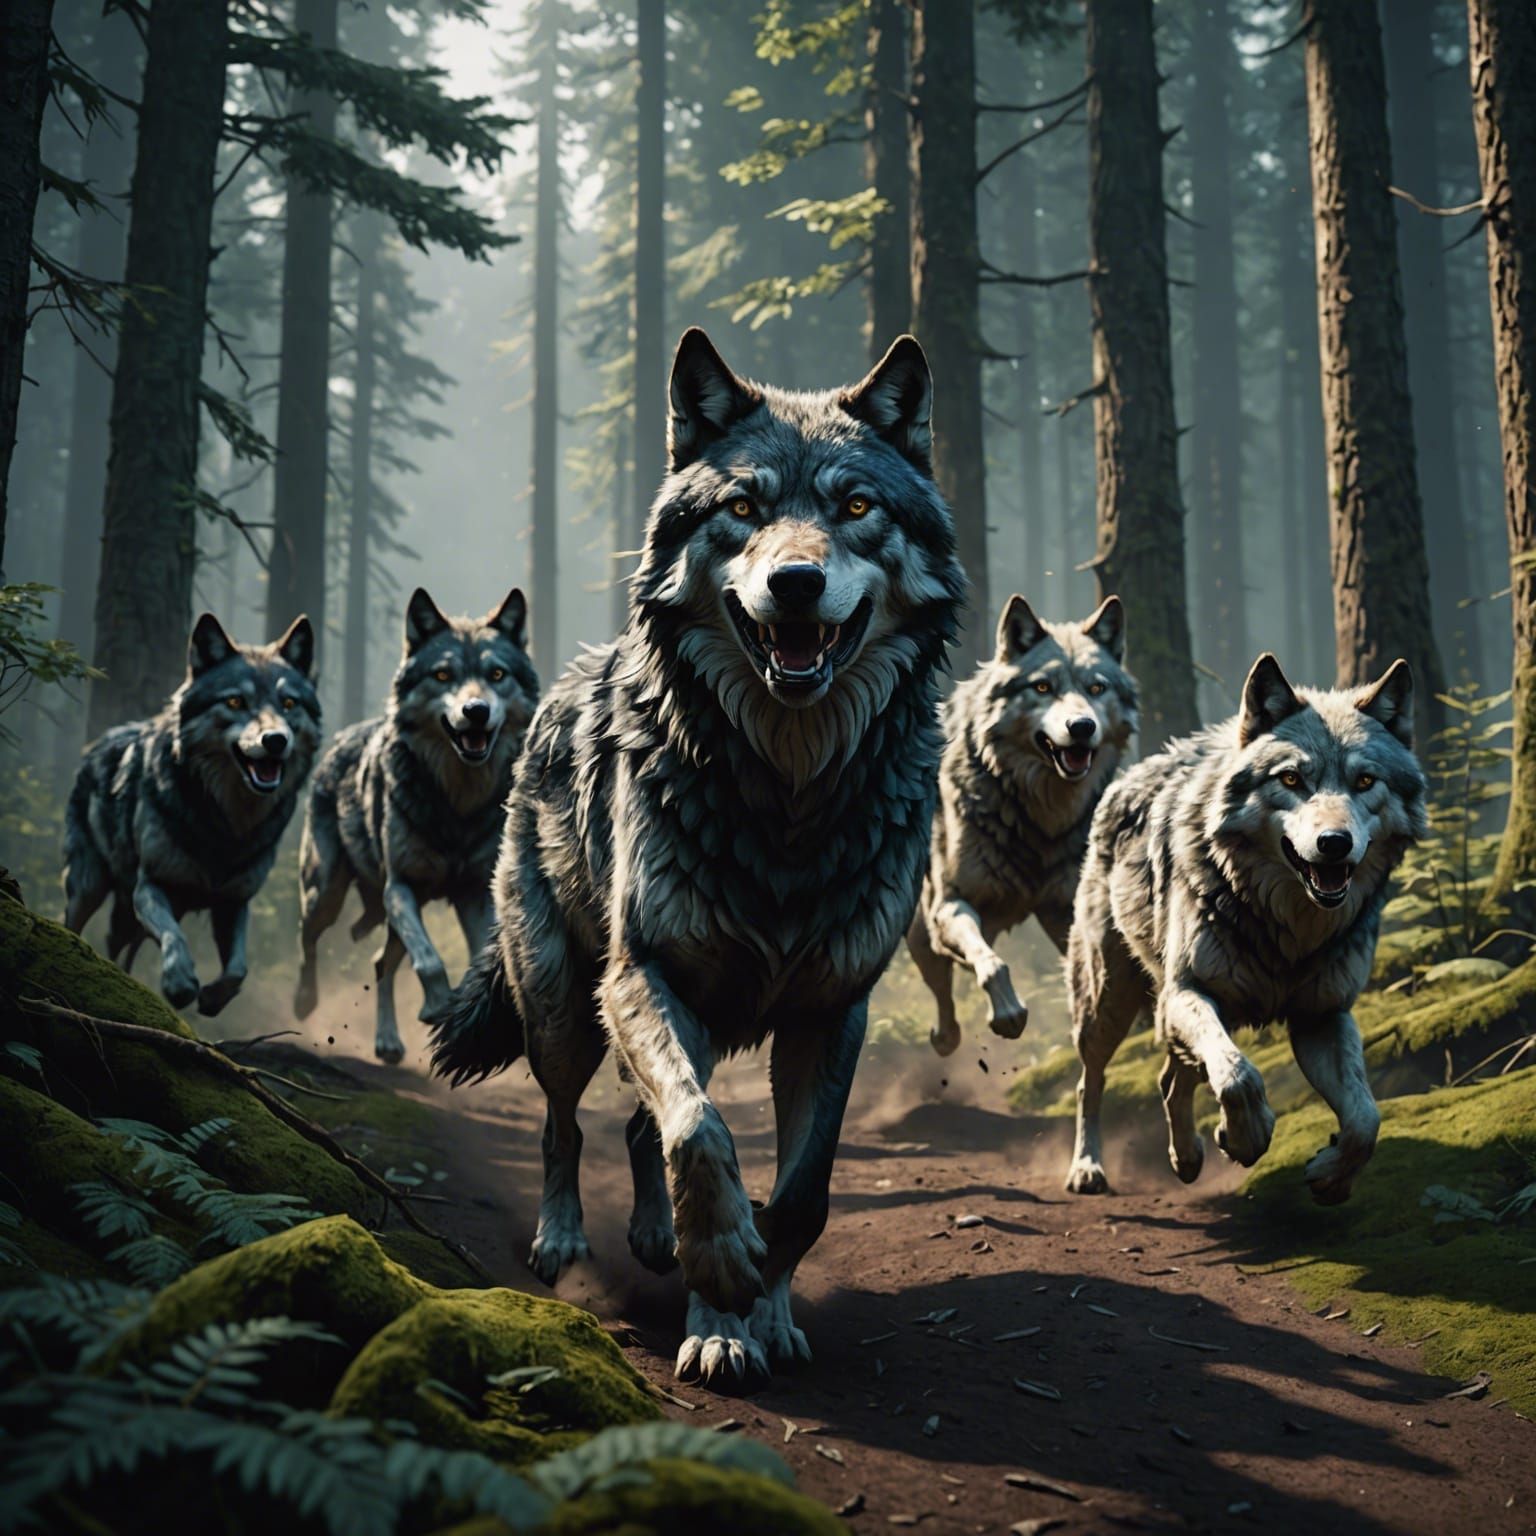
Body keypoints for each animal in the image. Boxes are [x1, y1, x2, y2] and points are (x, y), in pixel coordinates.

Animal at [64, 613, 319, 1014]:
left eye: (289, 703)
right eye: (235, 700)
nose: (276, 740)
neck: (226, 824)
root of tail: (100, 741)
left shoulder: (235, 902)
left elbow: (238, 969)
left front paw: (212, 998)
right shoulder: (151, 885)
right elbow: (174, 939)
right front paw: (180, 984)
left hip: (131, 913)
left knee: (120, 946)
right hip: (88, 887)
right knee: (74, 923)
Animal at [293, 588, 537, 1064]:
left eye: (497, 674)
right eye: (443, 675)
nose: (475, 711)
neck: (456, 805)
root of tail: (339, 739)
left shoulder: (474, 894)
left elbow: (471, 958)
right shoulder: (400, 887)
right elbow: (430, 961)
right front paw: (437, 1006)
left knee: (380, 962)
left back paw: (388, 1042)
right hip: (329, 893)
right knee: (309, 937)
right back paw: (305, 1001)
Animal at [429, 327, 965, 1386]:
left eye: (855, 508)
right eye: (743, 508)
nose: (795, 583)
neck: (789, 796)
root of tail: (553, 687)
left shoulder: (833, 1012)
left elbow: (801, 1192)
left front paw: (761, 1310)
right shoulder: (646, 975)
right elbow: (698, 1130)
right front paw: (717, 1284)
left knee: (638, 1122)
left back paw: (653, 1239)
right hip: (567, 1006)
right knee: (567, 1119)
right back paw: (567, 1239)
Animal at [906, 593, 1137, 1056]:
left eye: (1097, 688)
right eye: (1043, 687)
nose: (1081, 727)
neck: (1038, 815)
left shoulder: (1067, 910)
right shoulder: (951, 905)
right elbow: (992, 966)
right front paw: (1008, 1014)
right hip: (923, 929)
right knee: (941, 981)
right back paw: (945, 1037)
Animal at [1064, 652, 1426, 1206]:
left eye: (1365, 782)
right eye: (1292, 779)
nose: (1334, 843)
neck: (1286, 928)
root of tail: (1131, 773)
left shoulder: (1323, 1016)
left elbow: (1367, 1118)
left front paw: (1330, 1176)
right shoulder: (1190, 993)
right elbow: (1239, 1076)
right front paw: (1247, 1136)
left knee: (1171, 1078)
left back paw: (1187, 1158)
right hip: (1109, 1005)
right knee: (1092, 1082)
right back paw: (1088, 1167)